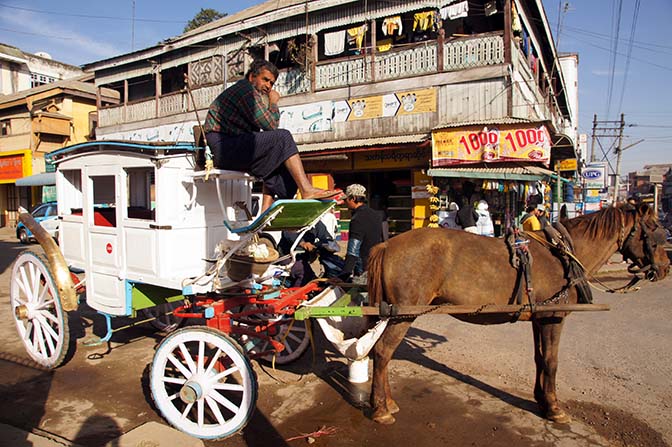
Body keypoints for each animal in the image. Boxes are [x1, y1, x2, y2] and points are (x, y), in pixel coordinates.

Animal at [368, 205, 668, 426]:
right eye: (655, 230)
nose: (665, 268)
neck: (564, 254)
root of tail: (387, 245)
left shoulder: (540, 316)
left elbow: (539, 358)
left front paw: (541, 399)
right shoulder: (553, 317)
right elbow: (552, 361)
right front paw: (554, 408)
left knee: (382, 353)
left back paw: (387, 402)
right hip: (404, 314)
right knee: (383, 353)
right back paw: (381, 410)